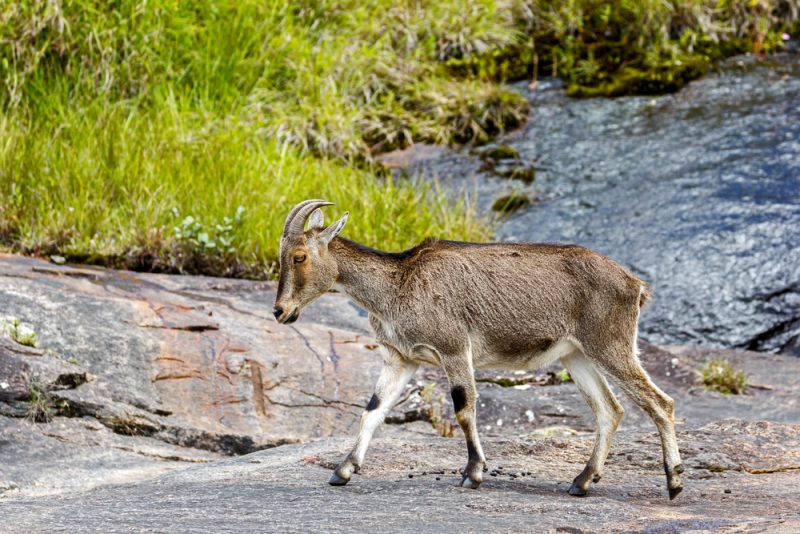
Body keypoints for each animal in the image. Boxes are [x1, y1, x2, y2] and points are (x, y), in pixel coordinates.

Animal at [272, 199, 684, 500]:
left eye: (299, 256)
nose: (280, 311)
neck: (397, 284)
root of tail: (635, 284)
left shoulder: (454, 348)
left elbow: (464, 409)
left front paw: (473, 474)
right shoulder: (401, 358)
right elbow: (372, 411)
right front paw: (341, 471)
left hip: (611, 345)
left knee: (660, 403)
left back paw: (674, 482)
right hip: (576, 355)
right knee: (609, 410)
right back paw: (581, 481)